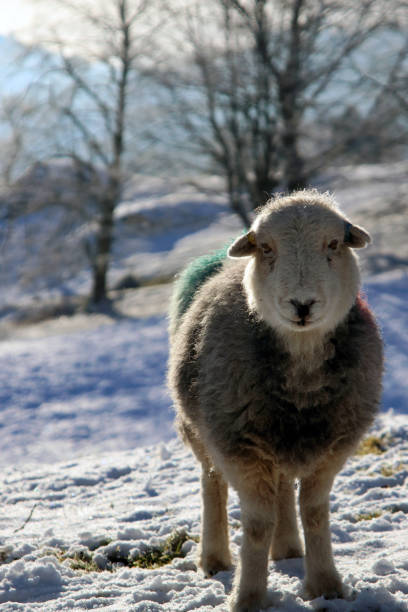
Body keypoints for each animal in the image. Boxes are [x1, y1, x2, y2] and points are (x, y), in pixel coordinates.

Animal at [167, 190, 384, 612]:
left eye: (334, 243)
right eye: (266, 248)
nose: (302, 305)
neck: (302, 369)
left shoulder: (334, 445)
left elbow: (313, 513)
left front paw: (325, 585)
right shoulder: (239, 446)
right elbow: (256, 523)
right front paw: (249, 596)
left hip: (279, 438)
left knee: (282, 486)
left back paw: (286, 549)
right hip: (202, 428)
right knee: (212, 482)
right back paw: (214, 559)